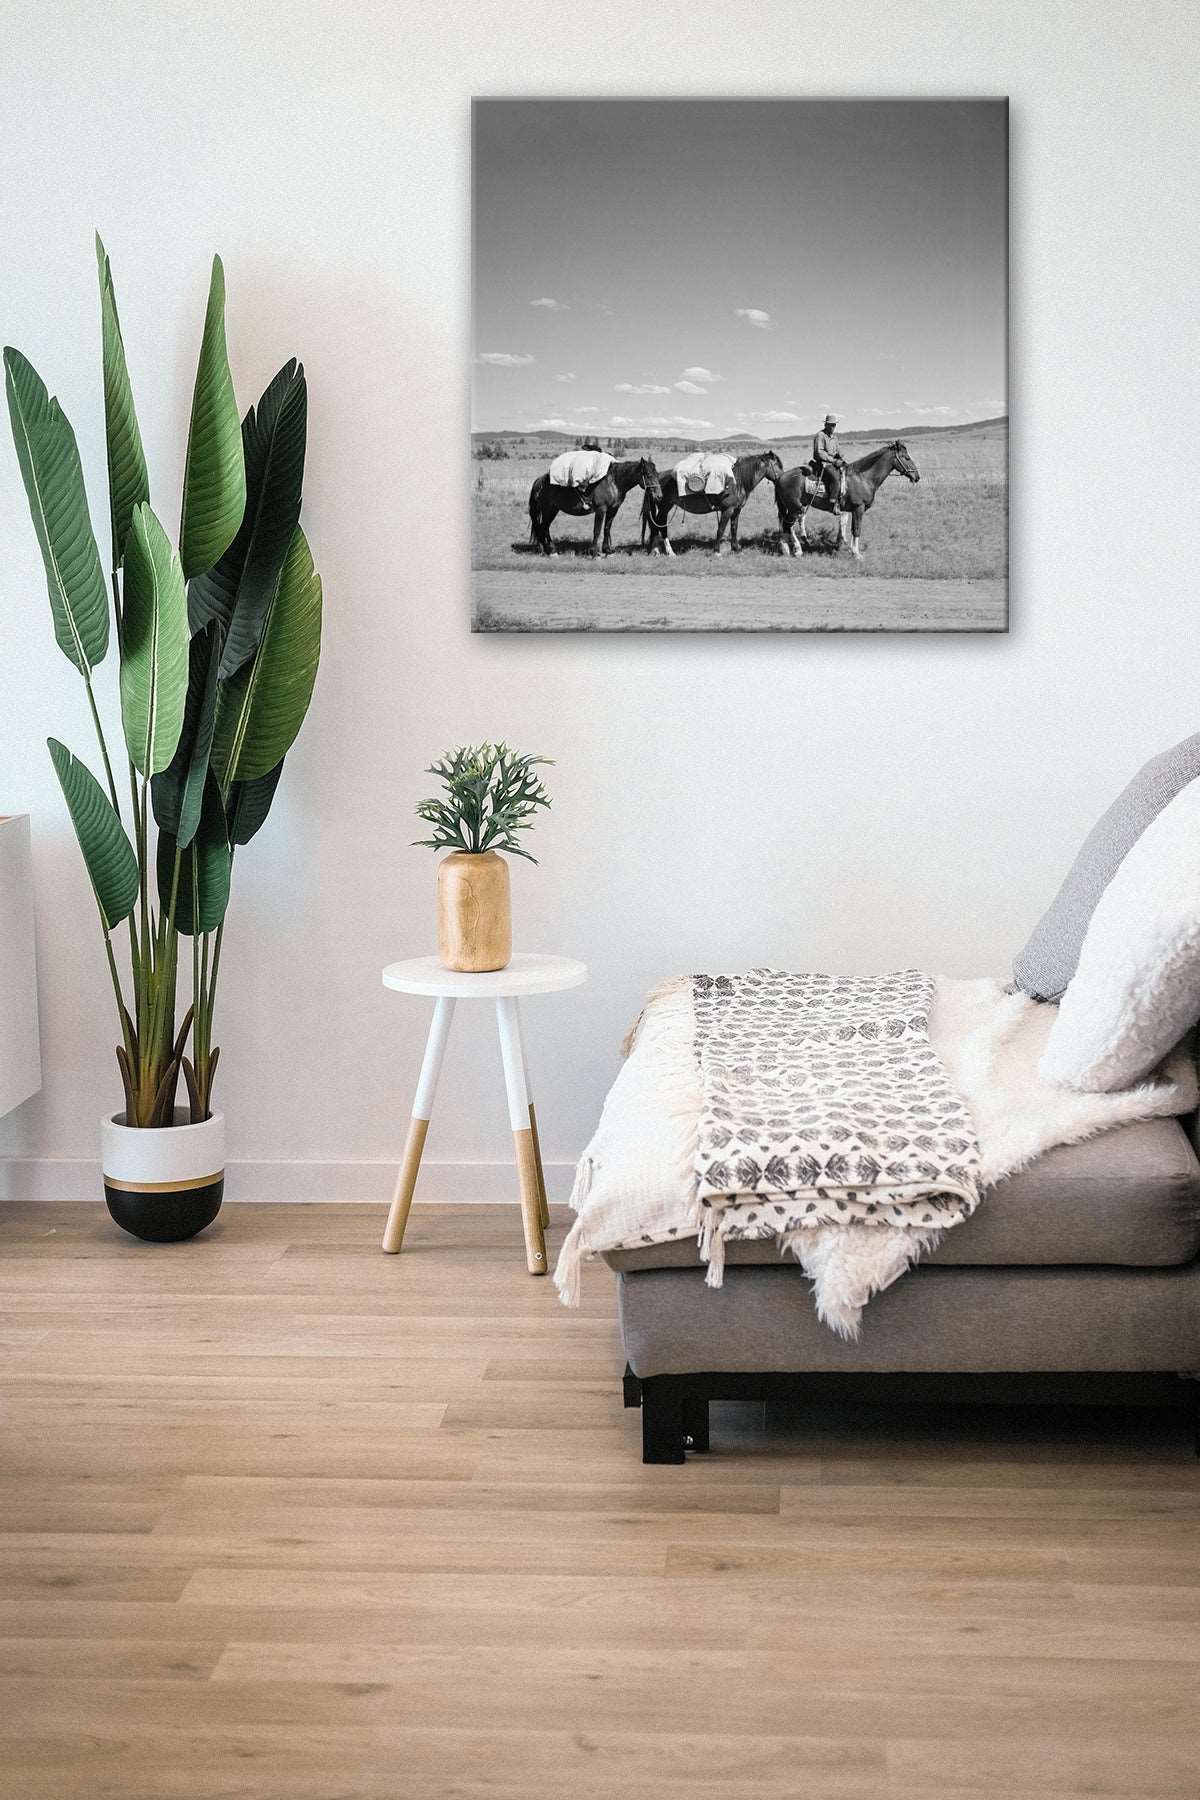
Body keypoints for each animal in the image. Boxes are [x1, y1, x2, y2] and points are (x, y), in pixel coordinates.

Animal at [528, 457, 662, 554]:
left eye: (657, 474)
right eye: (649, 475)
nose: (659, 496)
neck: (613, 482)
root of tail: (540, 480)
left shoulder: (613, 510)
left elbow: (607, 528)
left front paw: (607, 550)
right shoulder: (601, 510)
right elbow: (597, 530)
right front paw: (594, 552)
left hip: (553, 510)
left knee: (543, 528)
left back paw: (545, 549)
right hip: (548, 509)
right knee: (543, 527)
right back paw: (550, 551)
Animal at [636, 448, 788, 550]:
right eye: (778, 465)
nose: (783, 478)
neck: (737, 481)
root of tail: (657, 479)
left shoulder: (736, 510)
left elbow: (734, 528)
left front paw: (736, 548)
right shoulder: (727, 510)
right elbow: (720, 529)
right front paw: (717, 551)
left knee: (657, 523)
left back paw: (657, 549)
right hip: (664, 505)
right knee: (658, 523)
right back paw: (662, 550)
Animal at [773, 439, 928, 558]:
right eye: (906, 457)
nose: (917, 477)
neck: (862, 478)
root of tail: (781, 476)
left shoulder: (852, 510)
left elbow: (851, 528)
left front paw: (849, 549)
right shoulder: (859, 508)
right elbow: (857, 529)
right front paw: (856, 554)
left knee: (786, 525)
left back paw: (786, 549)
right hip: (794, 507)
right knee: (788, 525)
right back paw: (796, 550)